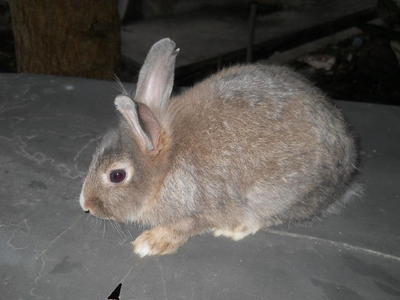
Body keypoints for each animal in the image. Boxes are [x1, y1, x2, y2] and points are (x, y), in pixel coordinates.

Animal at [79, 37, 358, 258]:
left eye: (117, 175)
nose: (86, 206)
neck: (167, 166)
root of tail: (349, 168)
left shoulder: (199, 211)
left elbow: (183, 227)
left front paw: (149, 243)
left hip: (280, 195)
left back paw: (234, 229)